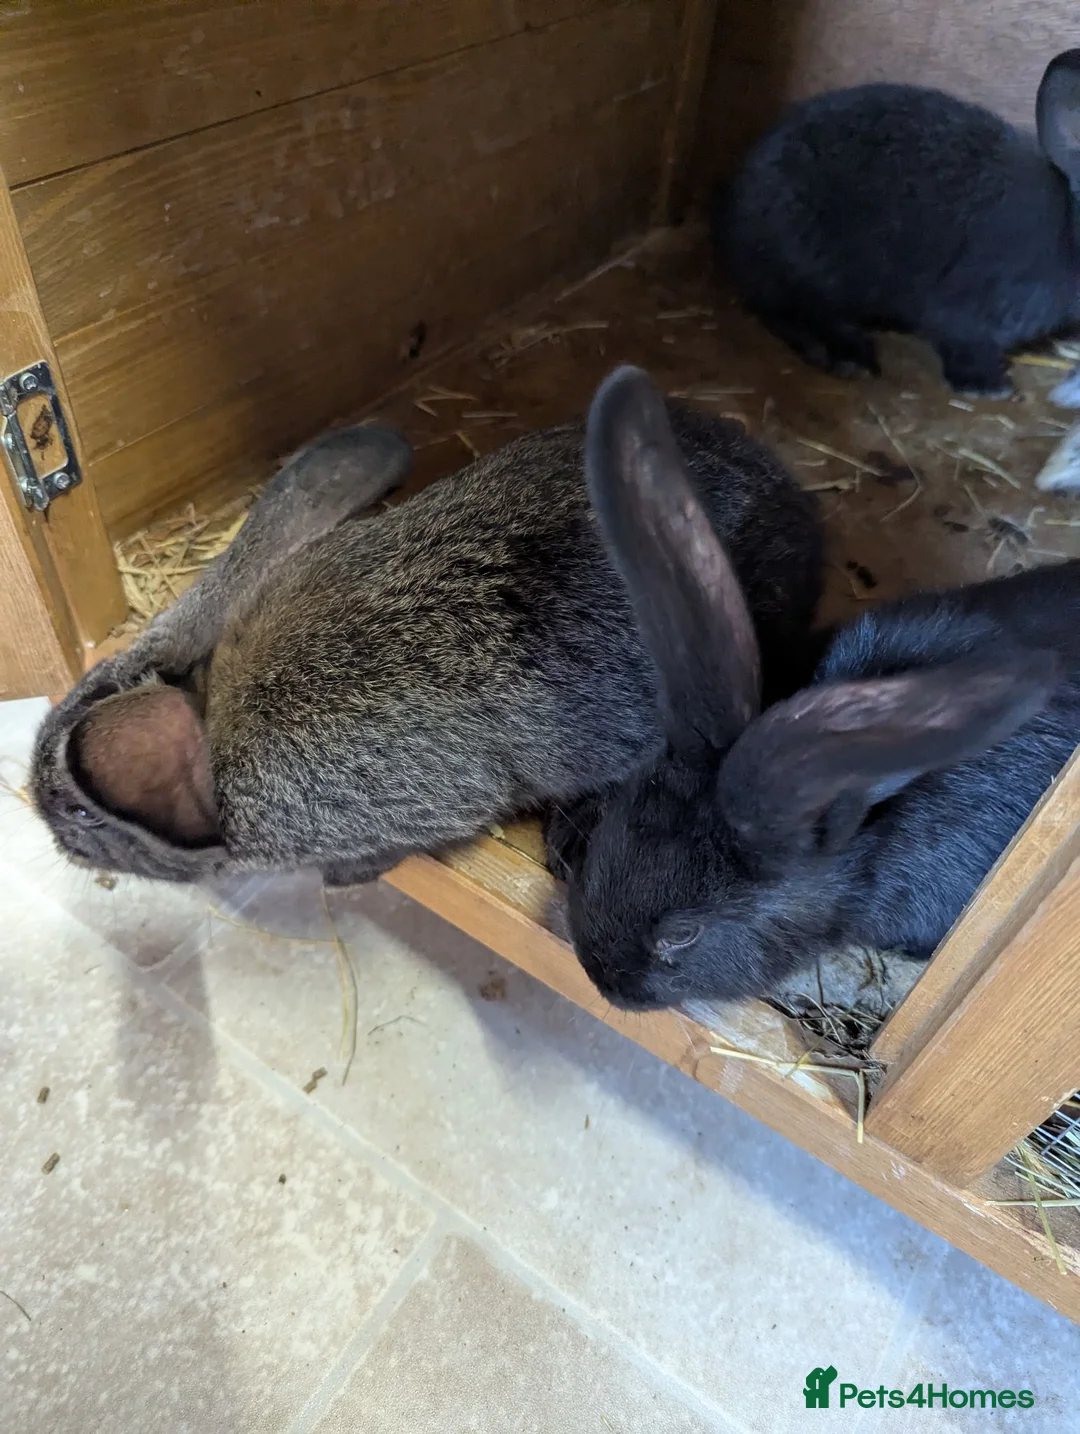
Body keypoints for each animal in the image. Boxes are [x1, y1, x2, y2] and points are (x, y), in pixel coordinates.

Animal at [716, 50, 1080, 396]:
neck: (1067, 229)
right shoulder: (974, 305)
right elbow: (960, 340)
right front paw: (988, 385)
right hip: (806, 263)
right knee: (783, 309)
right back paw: (845, 355)